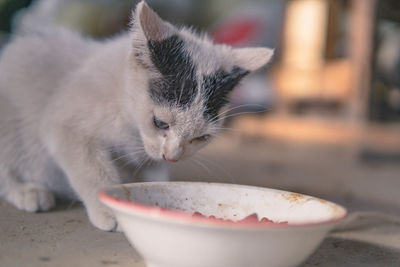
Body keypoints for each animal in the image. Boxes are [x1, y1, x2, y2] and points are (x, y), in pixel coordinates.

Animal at [0, 1, 274, 231]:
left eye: (201, 138)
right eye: (160, 123)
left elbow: (152, 174)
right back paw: (27, 191)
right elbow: (90, 166)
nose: (172, 157)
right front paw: (109, 207)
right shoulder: (65, 121)